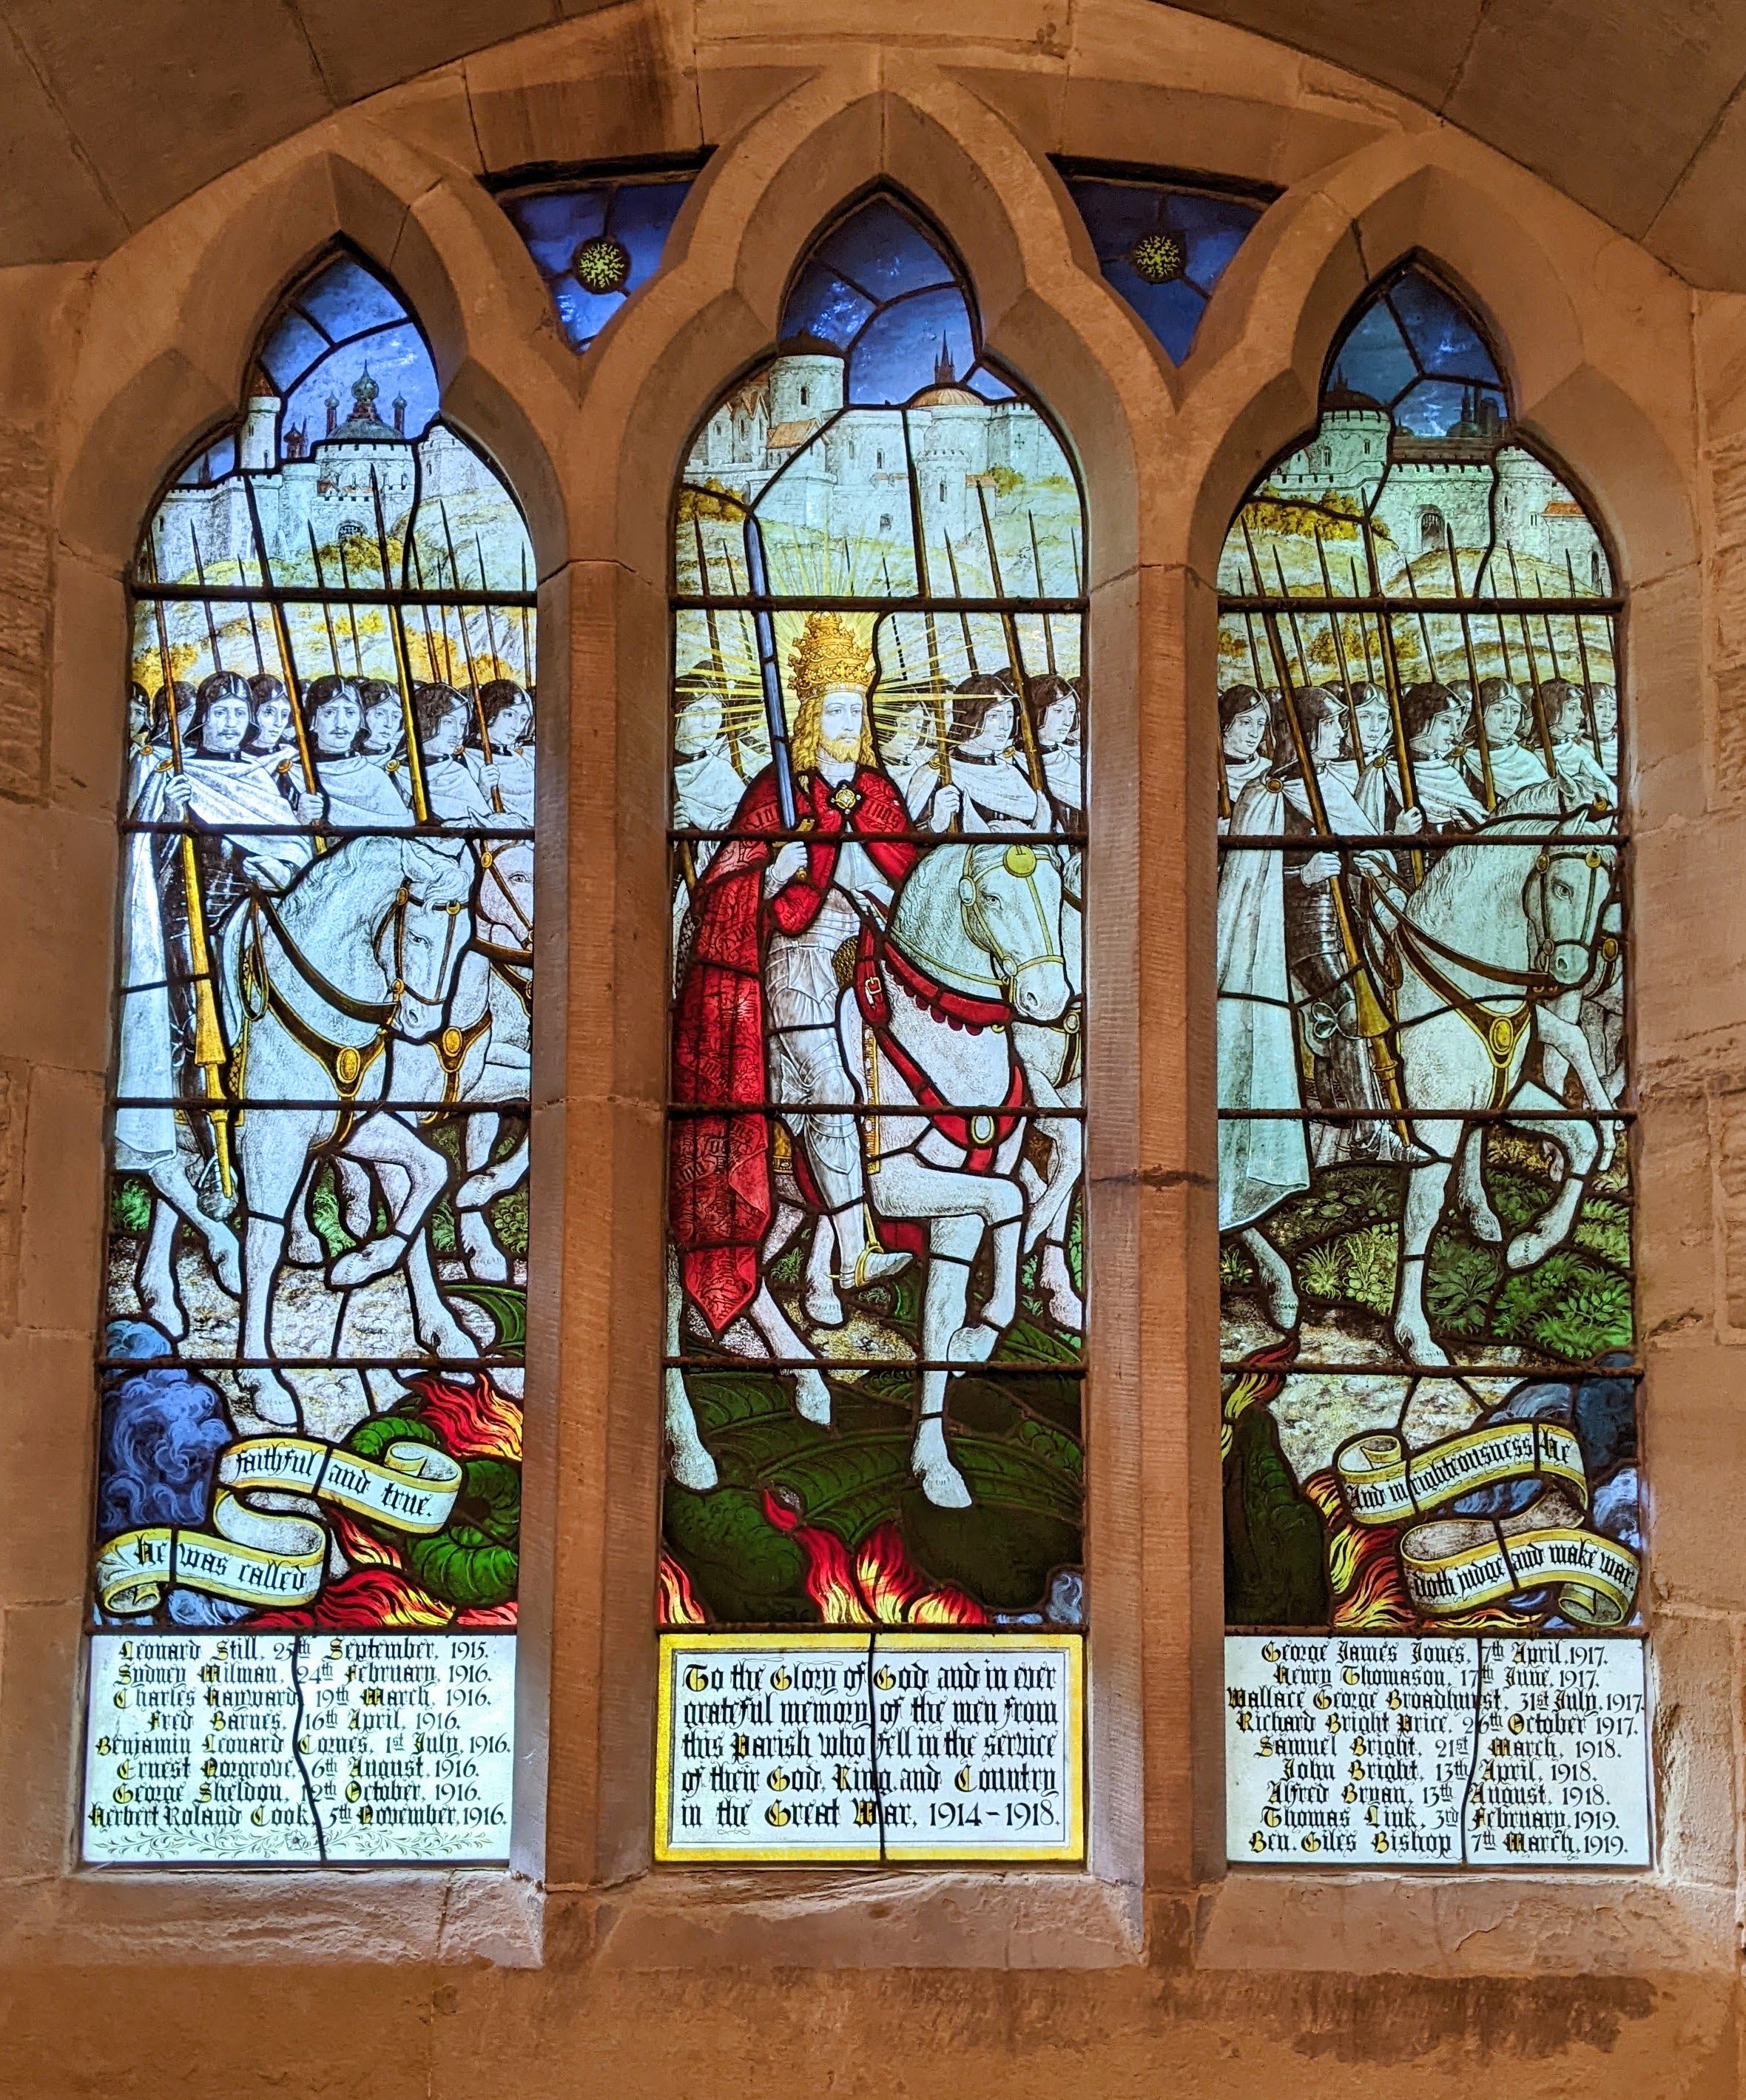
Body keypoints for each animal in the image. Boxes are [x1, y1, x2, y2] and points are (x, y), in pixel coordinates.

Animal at [218, 830, 481, 1424]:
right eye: (421, 933)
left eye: (465, 940)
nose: (422, 1026)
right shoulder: (270, 1136)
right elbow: (261, 1243)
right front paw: (261, 1380)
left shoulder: (358, 1123)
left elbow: (434, 1170)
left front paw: (363, 1265)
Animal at [663, 840, 1073, 1509]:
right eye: (991, 897)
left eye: (1061, 896)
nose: (1049, 998)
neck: (940, 1038)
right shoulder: (897, 1183)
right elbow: (1011, 1199)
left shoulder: (957, 1211)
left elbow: (946, 1307)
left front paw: (938, 1455)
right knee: (681, 1305)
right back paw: (692, 1451)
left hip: (778, 1203)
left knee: (750, 1282)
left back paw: (807, 1380)